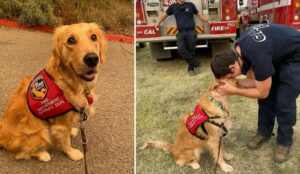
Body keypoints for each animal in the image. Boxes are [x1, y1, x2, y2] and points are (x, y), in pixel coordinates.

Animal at [0, 22, 106, 162]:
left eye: (93, 37)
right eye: (71, 40)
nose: (92, 58)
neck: (69, 82)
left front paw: (71, 131)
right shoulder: (60, 124)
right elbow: (65, 141)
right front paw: (72, 153)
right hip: (41, 131)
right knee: (21, 154)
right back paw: (43, 154)